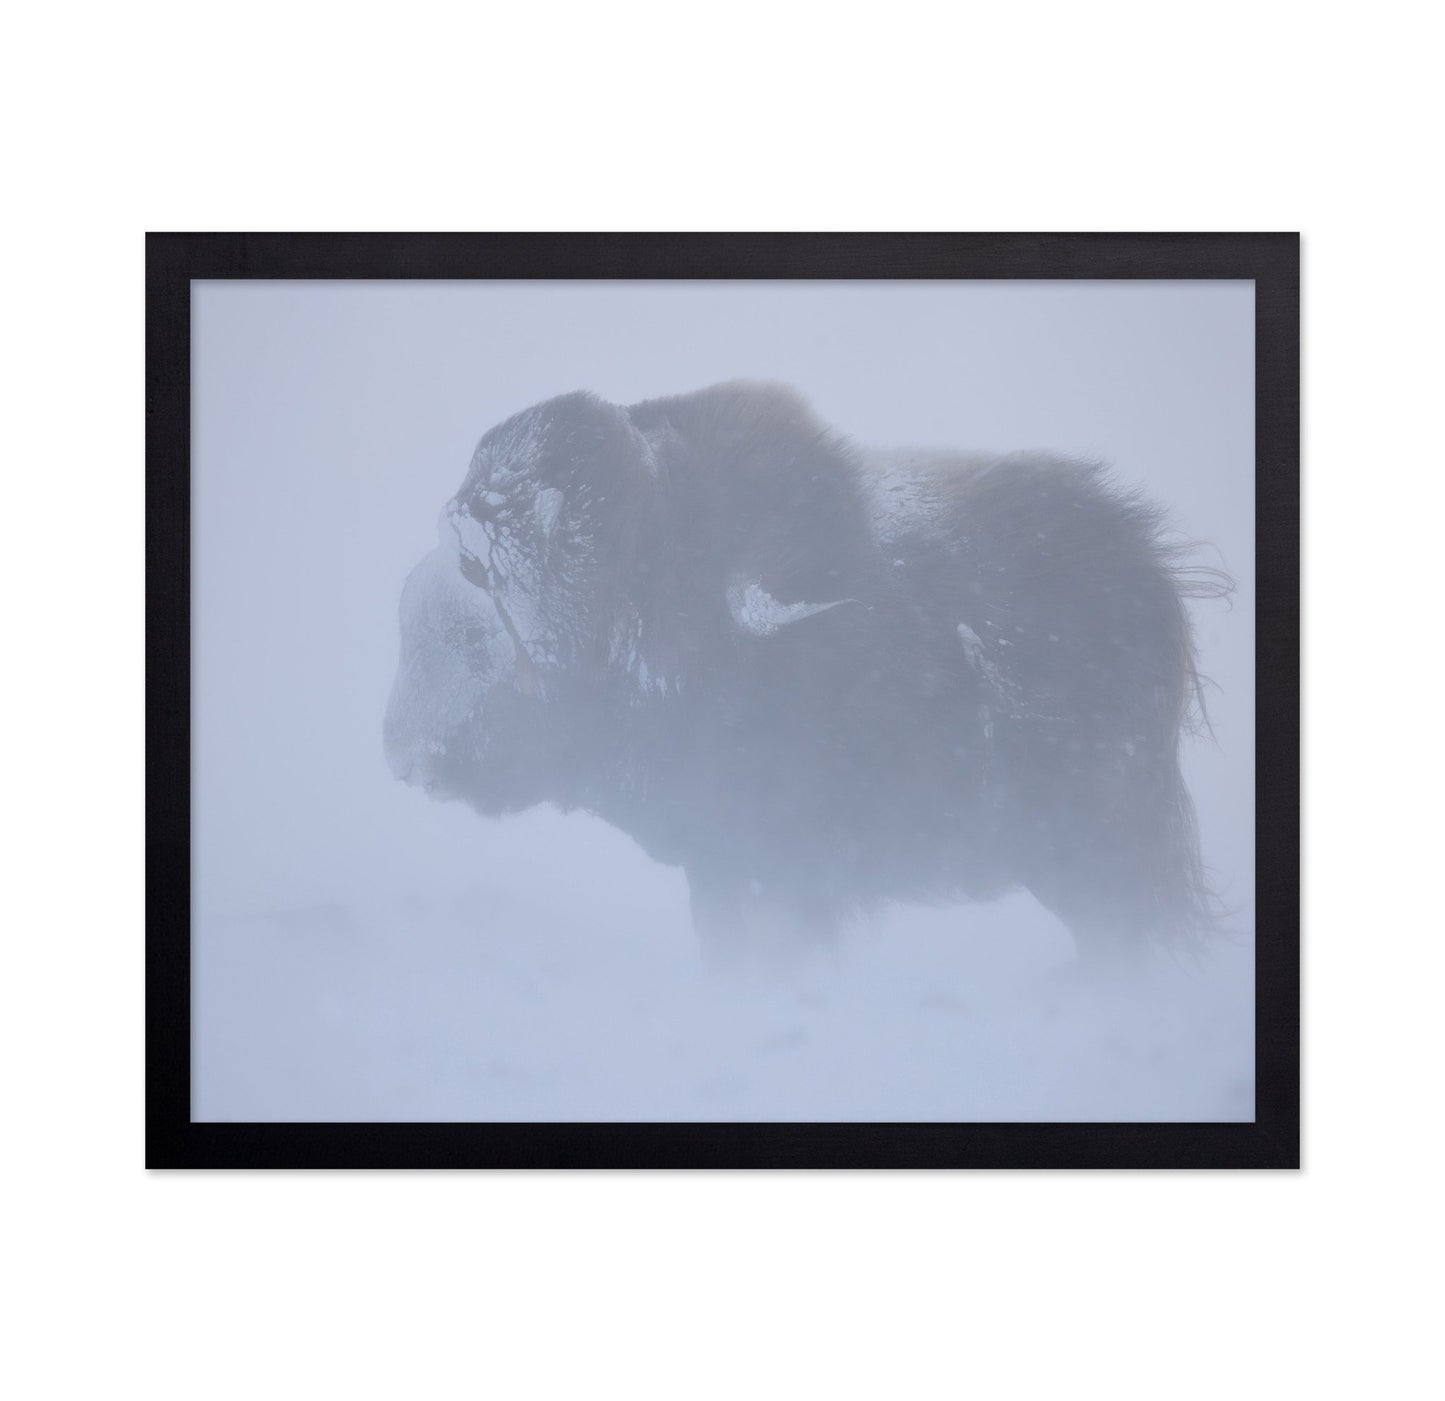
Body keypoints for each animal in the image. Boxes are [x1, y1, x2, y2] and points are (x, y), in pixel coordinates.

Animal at [384, 382, 1226, 965]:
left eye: (480, 577)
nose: (399, 745)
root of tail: (1150, 572)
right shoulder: (721, 866)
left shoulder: (772, 869)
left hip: (1104, 849)